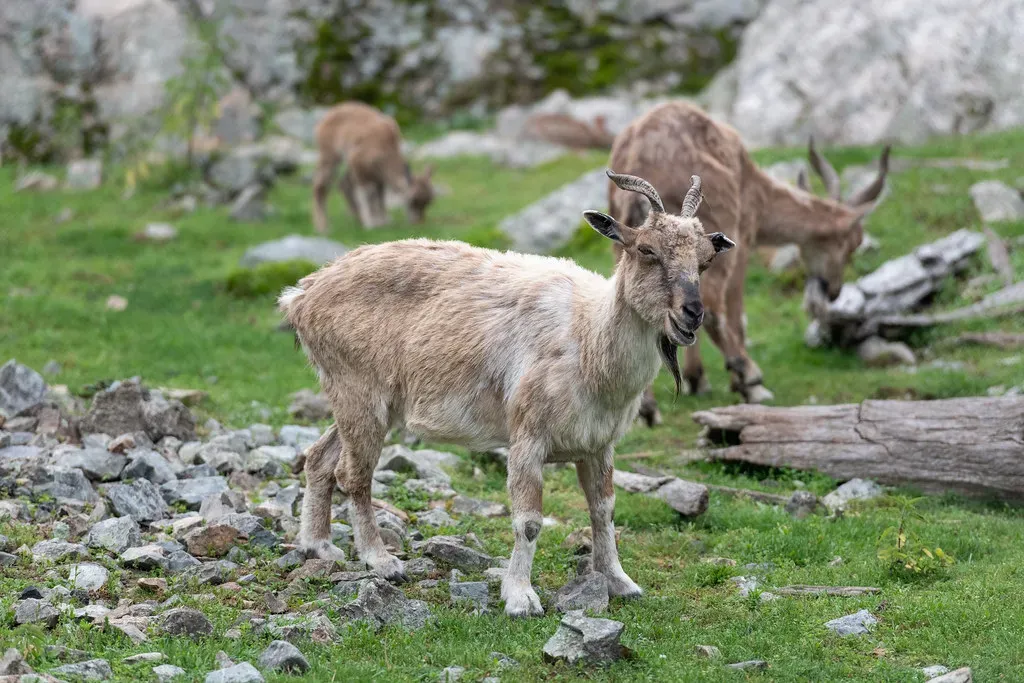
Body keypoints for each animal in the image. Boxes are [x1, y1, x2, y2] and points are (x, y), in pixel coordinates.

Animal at [279, 172, 734, 617]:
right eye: (645, 249)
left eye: (705, 260)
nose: (692, 314)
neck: (587, 339)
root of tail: (301, 295)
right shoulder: (528, 437)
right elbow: (529, 520)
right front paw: (520, 597)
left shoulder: (598, 444)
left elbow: (603, 511)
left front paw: (621, 582)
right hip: (360, 392)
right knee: (352, 474)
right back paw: (381, 561)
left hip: (362, 401)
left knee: (319, 458)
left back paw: (318, 546)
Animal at [312, 101, 435, 232]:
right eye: (413, 200)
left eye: (428, 201)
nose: (419, 222)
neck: (386, 147)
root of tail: (326, 117)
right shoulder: (358, 164)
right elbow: (366, 193)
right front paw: (370, 224)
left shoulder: (378, 177)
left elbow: (380, 196)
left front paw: (383, 221)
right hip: (329, 155)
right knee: (321, 186)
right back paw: (323, 227)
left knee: (344, 184)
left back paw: (357, 218)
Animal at [609, 101, 889, 425]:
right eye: (852, 243)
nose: (833, 291)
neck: (755, 189)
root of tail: (642, 158)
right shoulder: (737, 242)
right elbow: (735, 315)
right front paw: (741, 383)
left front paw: (696, 380)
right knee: (712, 309)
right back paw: (751, 378)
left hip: (625, 246)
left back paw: (648, 409)